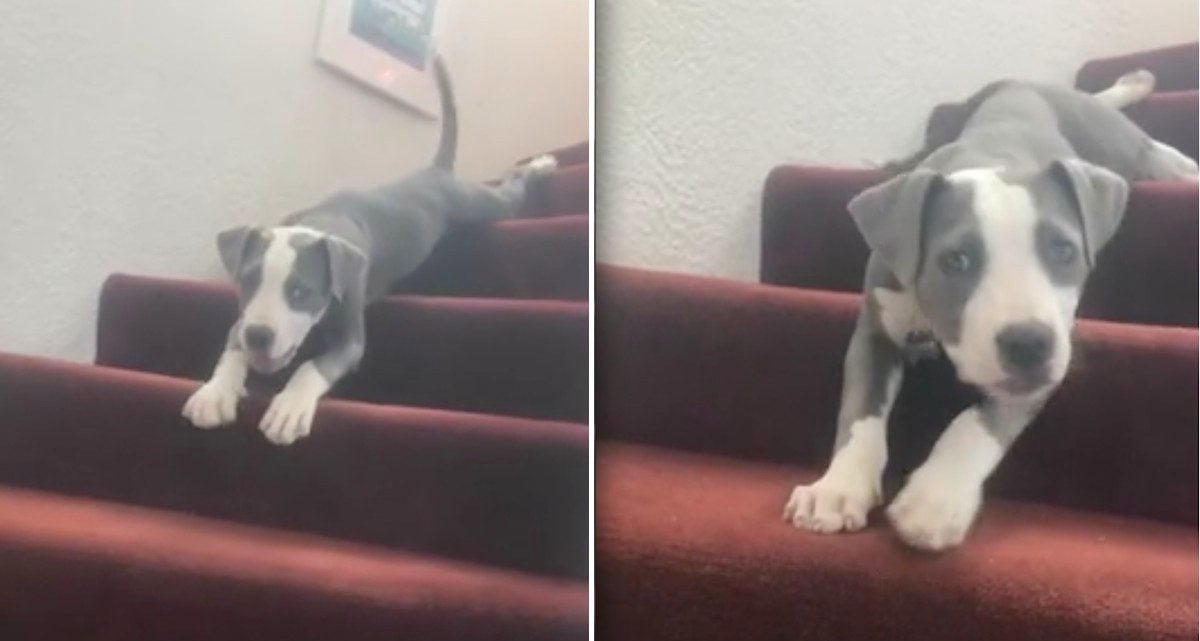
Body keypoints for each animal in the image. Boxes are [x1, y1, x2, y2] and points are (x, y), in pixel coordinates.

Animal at [180, 57, 554, 444]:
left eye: (301, 292)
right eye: (247, 282)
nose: (259, 336)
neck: (317, 224)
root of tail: (435, 171)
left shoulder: (351, 340)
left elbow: (311, 366)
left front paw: (289, 408)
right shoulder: (242, 319)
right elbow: (232, 349)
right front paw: (214, 393)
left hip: (482, 204)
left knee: (512, 192)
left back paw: (539, 165)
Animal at [782, 70, 1195, 552]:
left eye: (1063, 250)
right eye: (955, 260)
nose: (1029, 345)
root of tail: (1028, 84)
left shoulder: (1047, 361)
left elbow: (980, 420)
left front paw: (934, 499)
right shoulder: (875, 332)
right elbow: (859, 411)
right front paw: (837, 488)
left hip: (1121, 143)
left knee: (1164, 155)